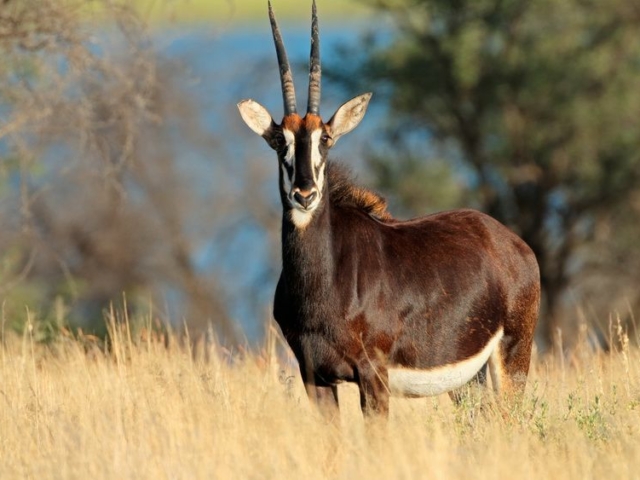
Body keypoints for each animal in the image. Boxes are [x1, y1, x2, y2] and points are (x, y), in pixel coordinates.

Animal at [237, 1, 540, 419]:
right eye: (279, 140)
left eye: (325, 138)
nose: (304, 194)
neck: (322, 280)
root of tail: (514, 245)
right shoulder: (314, 376)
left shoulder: (372, 375)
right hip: (470, 378)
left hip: (512, 355)